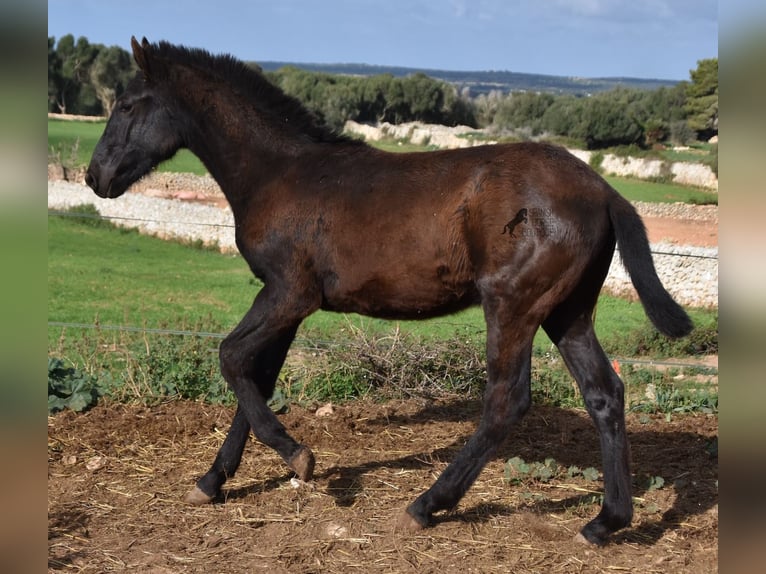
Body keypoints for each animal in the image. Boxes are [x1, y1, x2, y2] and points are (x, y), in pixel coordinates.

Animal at [87, 37, 692, 548]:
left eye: (128, 105)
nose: (96, 177)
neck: (280, 173)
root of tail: (605, 191)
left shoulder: (288, 294)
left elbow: (231, 358)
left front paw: (299, 458)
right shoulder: (287, 303)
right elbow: (256, 378)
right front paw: (213, 480)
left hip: (513, 305)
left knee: (506, 400)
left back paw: (427, 505)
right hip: (567, 312)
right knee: (604, 394)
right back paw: (605, 522)